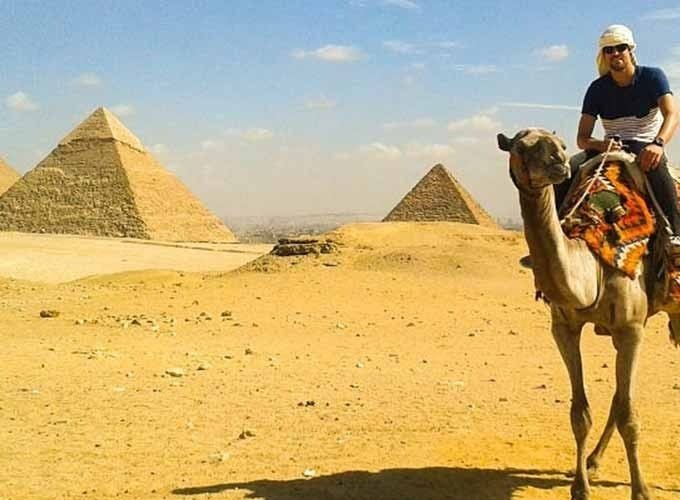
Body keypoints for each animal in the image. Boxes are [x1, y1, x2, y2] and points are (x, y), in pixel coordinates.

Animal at [497, 128, 680, 500]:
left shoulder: (631, 328)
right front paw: (580, 487)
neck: (593, 261)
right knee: (617, 397)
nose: (559, 164)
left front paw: (641, 490)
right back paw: (594, 461)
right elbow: (580, 413)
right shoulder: (563, 328)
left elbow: (629, 417)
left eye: (561, 145)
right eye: (521, 147)